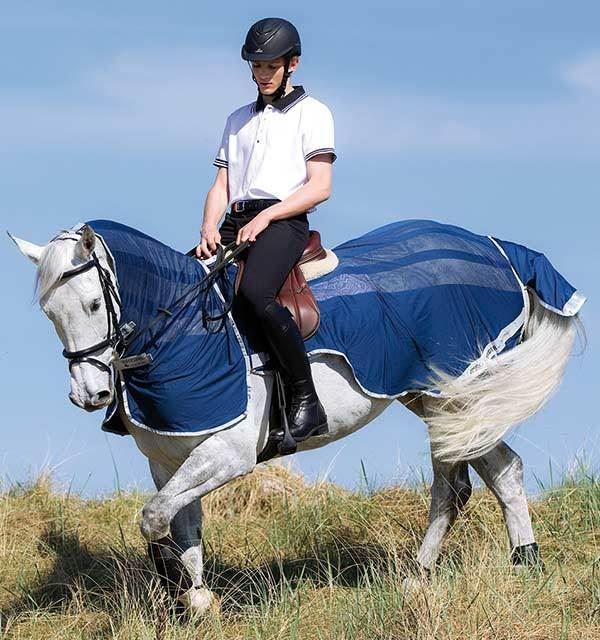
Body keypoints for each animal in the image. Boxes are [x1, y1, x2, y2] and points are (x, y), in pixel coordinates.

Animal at [9, 218, 585, 615]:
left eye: (91, 304)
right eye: (50, 312)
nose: (90, 393)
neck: (183, 331)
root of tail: (494, 247)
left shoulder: (228, 453)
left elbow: (154, 519)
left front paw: (181, 591)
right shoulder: (170, 459)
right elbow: (182, 524)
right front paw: (197, 599)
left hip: (452, 396)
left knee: (460, 483)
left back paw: (451, 573)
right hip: (441, 401)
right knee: (493, 472)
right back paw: (498, 565)